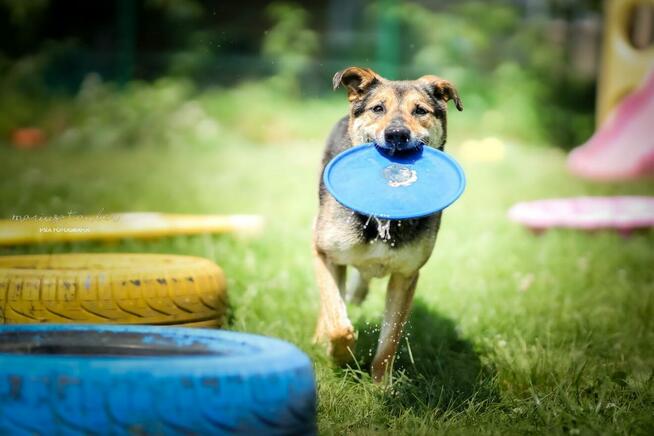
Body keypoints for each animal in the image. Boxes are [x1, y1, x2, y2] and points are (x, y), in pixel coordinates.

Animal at [314, 65, 464, 382]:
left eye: (420, 111)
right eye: (378, 109)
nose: (397, 134)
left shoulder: (406, 276)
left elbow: (390, 339)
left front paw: (381, 384)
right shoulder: (324, 253)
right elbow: (337, 321)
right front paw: (339, 354)